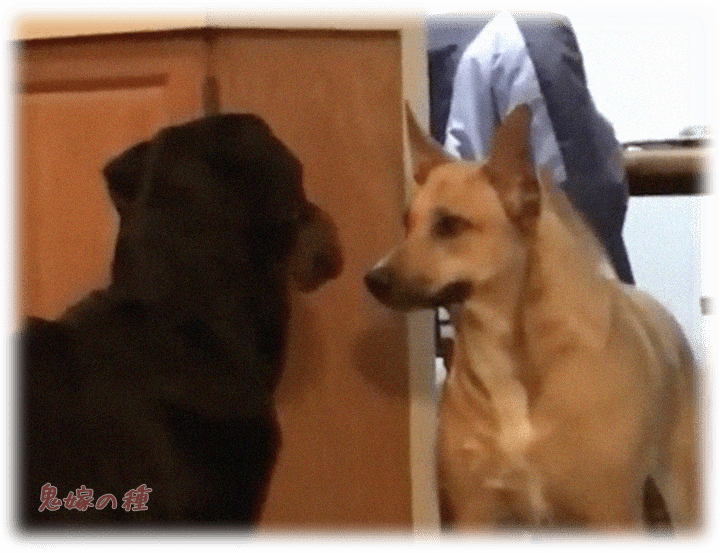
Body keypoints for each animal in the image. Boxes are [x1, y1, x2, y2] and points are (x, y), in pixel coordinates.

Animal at [365, 105, 705, 544]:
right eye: (406, 224)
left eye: (450, 225)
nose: (372, 279)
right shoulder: (477, 520)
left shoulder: (617, 520)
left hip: (686, 497)